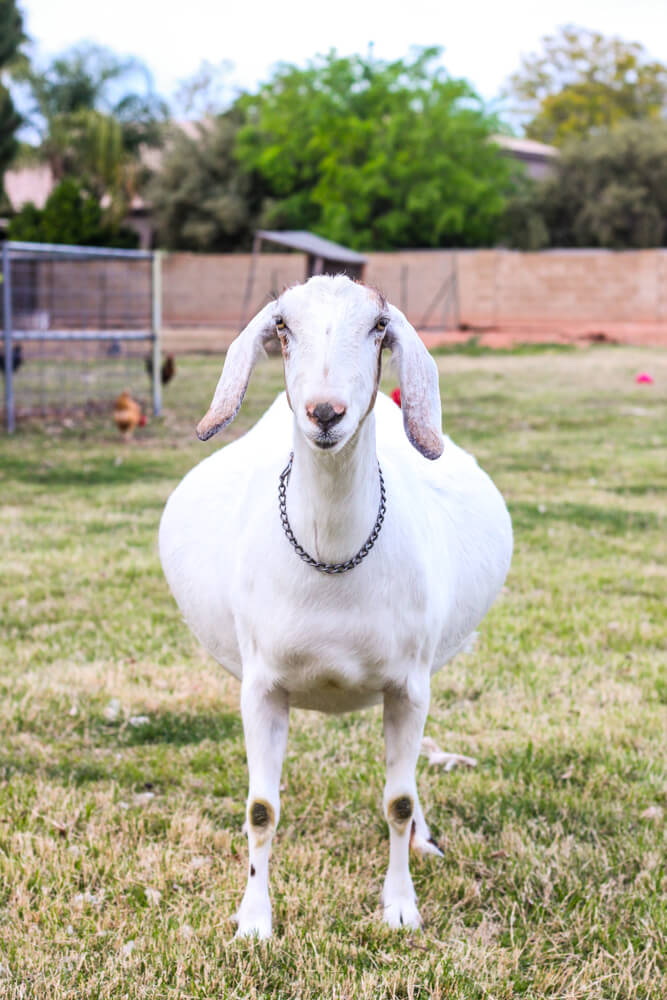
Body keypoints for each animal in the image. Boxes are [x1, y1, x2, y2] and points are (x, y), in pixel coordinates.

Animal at [159, 274, 516, 936]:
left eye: (377, 327)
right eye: (282, 326)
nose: (325, 413)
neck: (332, 558)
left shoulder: (409, 686)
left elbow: (397, 800)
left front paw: (400, 908)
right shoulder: (261, 688)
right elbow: (262, 808)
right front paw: (254, 921)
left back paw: (425, 839)